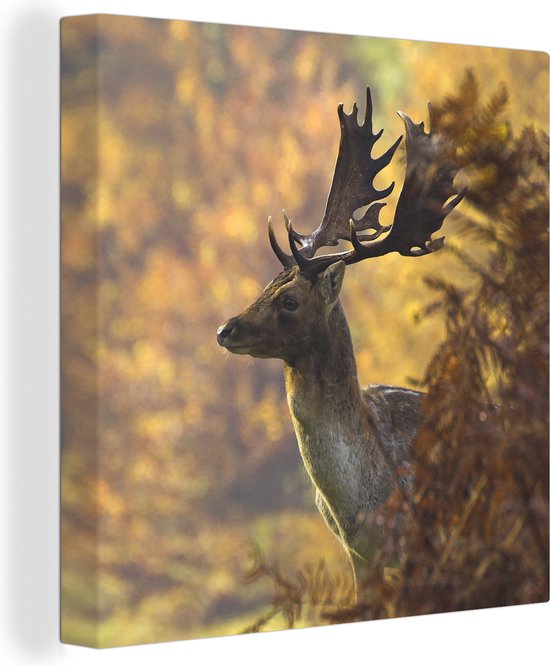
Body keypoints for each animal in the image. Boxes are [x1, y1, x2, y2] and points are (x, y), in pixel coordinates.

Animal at [216, 88, 464, 593]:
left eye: (290, 300)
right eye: (266, 286)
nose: (225, 330)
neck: (361, 505)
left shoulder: (421, 546)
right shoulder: (358, 555)